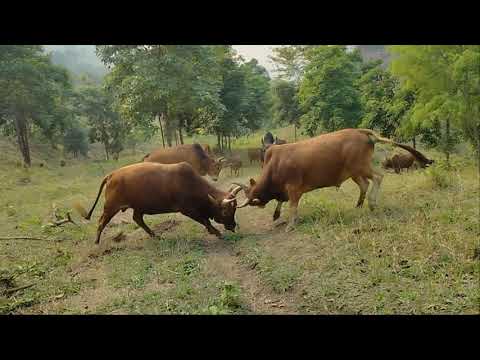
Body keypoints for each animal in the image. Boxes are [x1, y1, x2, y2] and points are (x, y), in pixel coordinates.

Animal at [232, 128, 436, 232]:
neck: (274, 164)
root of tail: (360, 132)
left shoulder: (294, 189)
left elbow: (292, 206)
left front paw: (290, 223)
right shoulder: (286, 190)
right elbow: (282, 202)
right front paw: (276, 214)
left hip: (361, 167)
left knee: (378, 177)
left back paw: (371, 203)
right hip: (354, 172)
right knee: (365, 184)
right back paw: (359, 205)